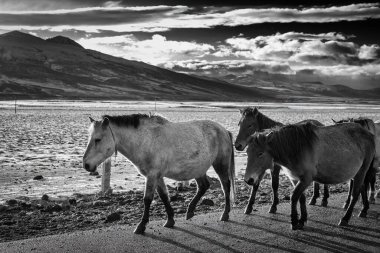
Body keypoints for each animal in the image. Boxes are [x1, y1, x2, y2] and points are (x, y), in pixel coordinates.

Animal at [84, 113, 235, 234]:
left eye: (98, 139)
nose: (86, 165)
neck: (145, 140)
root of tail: (224, 130)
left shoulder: (152, 175)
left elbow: (147, 199)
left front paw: (141, 226)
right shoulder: (157, 176)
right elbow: (163, 196)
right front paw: (170, 220)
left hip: (220, 165)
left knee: (225, 186)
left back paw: (225, 214)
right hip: (198, 169)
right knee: (203, 186)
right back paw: (190, 211)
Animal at [243, 122, 374, 229]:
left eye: (260, 153)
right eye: (248, 152)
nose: (249, 180)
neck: (296, 148)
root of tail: (368, 133)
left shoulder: (306, 179)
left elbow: (294, 196)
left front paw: (294, 221)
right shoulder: (296, 179)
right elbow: (301, 198)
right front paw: (302, 219)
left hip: (362, 171)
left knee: (355, 194)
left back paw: (345, 218)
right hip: (358, 173)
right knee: (362, 189)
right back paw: (364, 210)